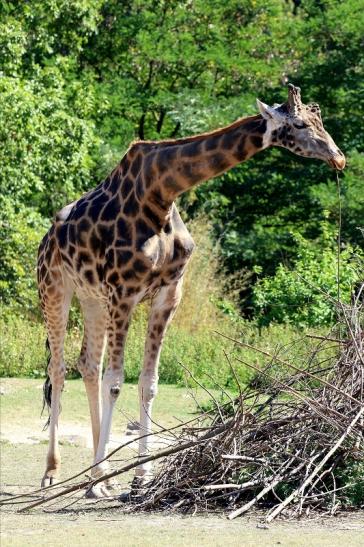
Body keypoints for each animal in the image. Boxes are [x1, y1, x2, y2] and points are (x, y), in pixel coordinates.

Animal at [37, 83, 346, 498]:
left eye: (320, 120)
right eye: (299, 124)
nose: (339, 158)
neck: (161, 193)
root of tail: (47, 237)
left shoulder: (168, 293)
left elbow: (148, 383)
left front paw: (138, 477)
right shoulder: (124, 291)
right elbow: (115, 383)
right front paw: (100, 480)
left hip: (92, 298)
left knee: (87, 364)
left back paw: (96, 474)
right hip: (55, 287)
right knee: (57, 369)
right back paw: (54, 472)